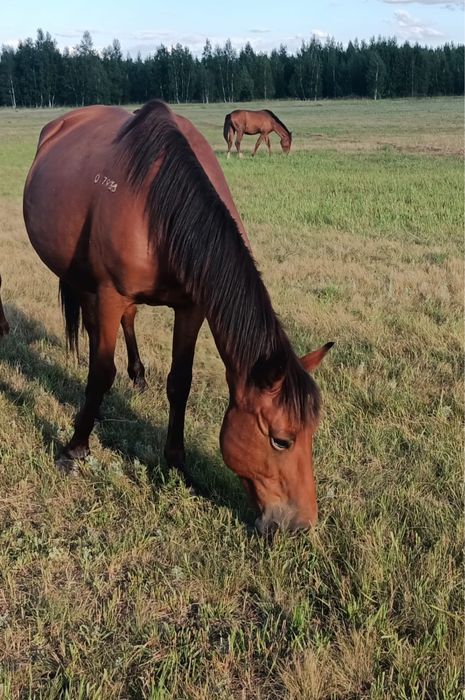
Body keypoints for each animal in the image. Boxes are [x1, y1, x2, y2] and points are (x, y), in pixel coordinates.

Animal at [23, 99, 332, 534]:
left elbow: (179, 383)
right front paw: (75, 448)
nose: (301, 526)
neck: (161, 205)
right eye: (281, 440)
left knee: (127, 321)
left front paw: (177, 463)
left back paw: (137, 376)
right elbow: (100, 374)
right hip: (82, 278)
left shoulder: (192, 307)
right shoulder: (110, 293)